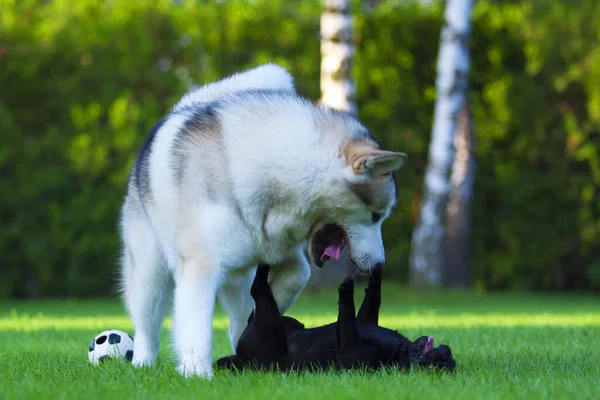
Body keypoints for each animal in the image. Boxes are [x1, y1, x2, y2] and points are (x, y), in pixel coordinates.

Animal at [117, 63, 408, 378]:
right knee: (147, 324)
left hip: (237, 275)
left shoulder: (275, 252)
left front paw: (263, 321)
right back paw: (142, 362)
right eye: (376, 215)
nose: (379, 266)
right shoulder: (200, 267)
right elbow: (196, 328)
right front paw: (197, 373)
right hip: (150, 275)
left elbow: (293, 277)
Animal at [216, 266, 454, 372]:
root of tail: (241, 360)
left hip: (269, 327)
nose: (445, 351)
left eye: (439, 365)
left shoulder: (351, 347)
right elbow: (373, 297)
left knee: (258, 289)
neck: (401, 351)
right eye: (445, 358)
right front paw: (375, 271)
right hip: (288, 322)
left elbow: (347, 313)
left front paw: (346, 291)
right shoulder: (366, 319)